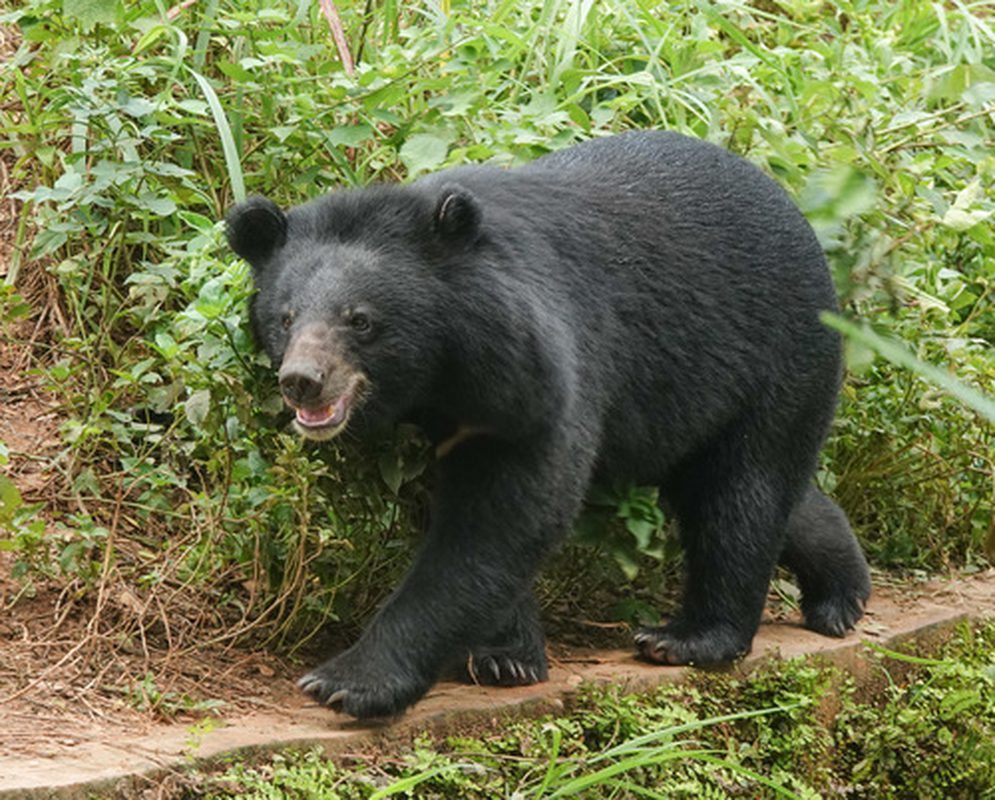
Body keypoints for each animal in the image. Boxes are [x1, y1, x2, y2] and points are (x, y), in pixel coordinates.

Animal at [226, 130, 872, 720]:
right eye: (284, 317)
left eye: (360, 320)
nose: (302, 381)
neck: (445, 368)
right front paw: (505, 657)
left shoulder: (537, 371)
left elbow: (500, 521)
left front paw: (347, 681)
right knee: (761, 495)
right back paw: (840, 595)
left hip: (778, 358)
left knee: (743, 493)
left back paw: (690, 638)